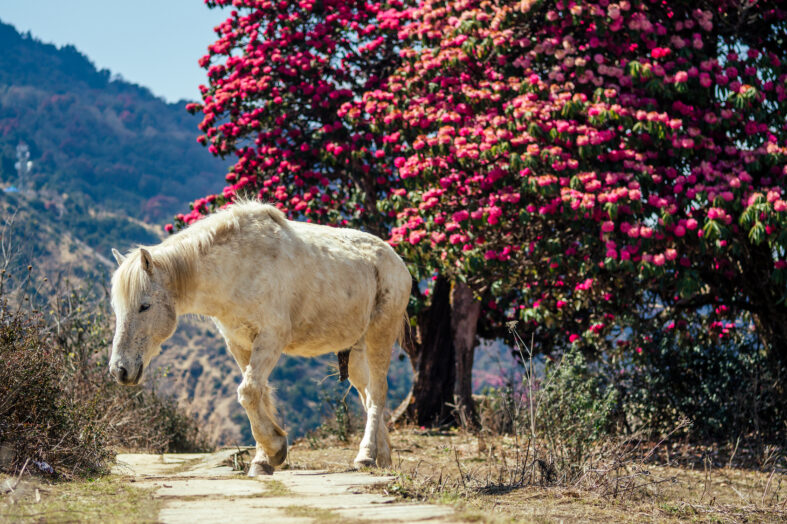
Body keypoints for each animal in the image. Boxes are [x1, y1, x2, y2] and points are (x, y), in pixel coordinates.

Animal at [108, 201, 411, 475]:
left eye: (144, 306)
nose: (120, 370)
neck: (237, 268)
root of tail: (397, 262)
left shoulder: (270, 338)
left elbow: (248, 392)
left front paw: (275, 450)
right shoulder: (240, 344)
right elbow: (259, 394)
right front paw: (264, 459)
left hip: (379, 337)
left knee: (378, 395)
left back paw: (367, 457)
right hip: (356, 351)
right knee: (368, 396)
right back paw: (383, 457)